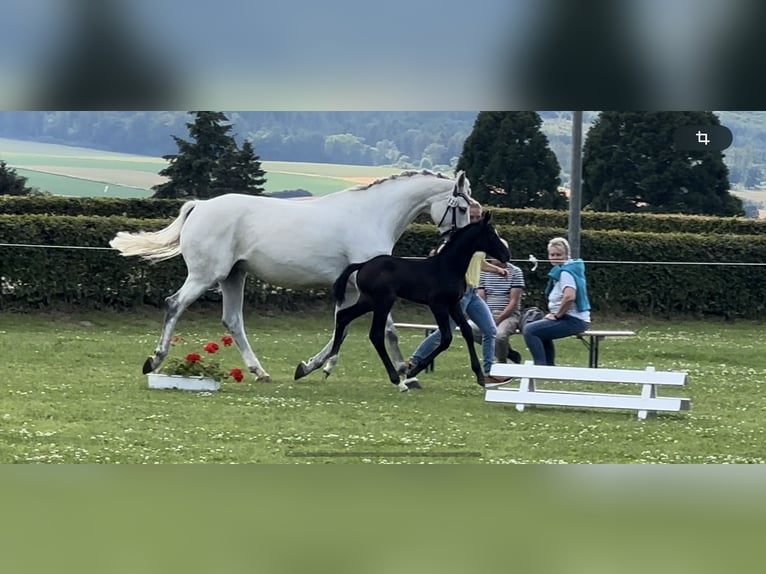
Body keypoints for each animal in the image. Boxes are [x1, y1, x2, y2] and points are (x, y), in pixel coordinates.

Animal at [324, 214, 510, 394]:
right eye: (491, 235)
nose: (506, 256)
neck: (447, 267)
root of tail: (363, 265)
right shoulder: (438, 305)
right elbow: (446, 338)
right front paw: (413, 371)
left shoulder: (454, 304)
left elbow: (467, 332)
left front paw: (480, 377)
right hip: (383, 302)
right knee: (375, 335)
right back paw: (398, 382)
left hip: (368, 301)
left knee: (343, 316)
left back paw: (328, 364)